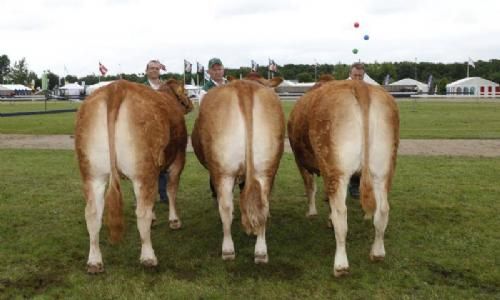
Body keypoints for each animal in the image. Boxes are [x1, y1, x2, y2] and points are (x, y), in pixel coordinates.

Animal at [74, 78, 193, 274]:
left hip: (92, 173)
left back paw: (94, 262)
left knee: (92, 214)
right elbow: (171, 191)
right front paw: (174, 220)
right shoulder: (178, 160)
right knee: (142, 213)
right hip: (143, 170)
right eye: (186, 93)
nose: (191, 104)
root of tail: (116, 88)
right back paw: (148, 257)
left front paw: (155, 217)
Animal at [191, 75, 286, 262]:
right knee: (263, 205)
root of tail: (244, 86)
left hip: (223, 171)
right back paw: (261, 252)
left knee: (226, 207)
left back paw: (228, 250)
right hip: (266, 169)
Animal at [288, 79, 400, 276]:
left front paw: (312, 213)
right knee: (383, 210)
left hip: (335, 167)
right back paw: (377, 253)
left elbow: (310, 188)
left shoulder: (300, 161)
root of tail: (359, 85)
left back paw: (340, 264)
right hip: (383, 168)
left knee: (341, 213)